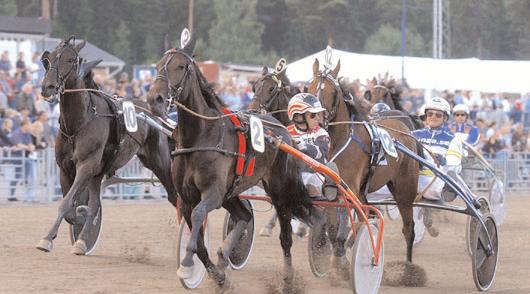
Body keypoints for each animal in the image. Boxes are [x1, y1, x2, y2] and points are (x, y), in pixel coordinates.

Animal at [36, 36, 177, 255]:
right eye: (48, 59)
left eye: (70, 60)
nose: (48, 87)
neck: (79, 122)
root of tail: (154, 111)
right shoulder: (66, 169)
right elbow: (71, 207)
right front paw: (79, 219)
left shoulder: (86, 166)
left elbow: (67, 203)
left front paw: (47, 239)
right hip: (99, 173)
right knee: (95, 204)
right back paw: (82, 241)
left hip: (159, 162)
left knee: (175, 195)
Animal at [146, 36, 324, 288]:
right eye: (158, 65)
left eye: (181, 66)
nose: (155, 99)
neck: (201, 135)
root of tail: (282, 132)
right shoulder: (188, 197)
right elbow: (198, 239)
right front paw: (216, 274)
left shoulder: (212, 192)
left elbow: (199, 215)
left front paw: (187, 265)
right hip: (231, 193)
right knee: (244, 216)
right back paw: (224, 256)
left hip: (279, 191)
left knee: (286, 235)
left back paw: (289, 278)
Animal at [308, 59, 418, 266]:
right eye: (309, 89)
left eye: (333, 93)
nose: (316, 120)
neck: (341, 139)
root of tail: (404, 128)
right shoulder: (334, 189)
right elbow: (335, 229)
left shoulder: (350, 187)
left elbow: (357, 222)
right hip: (365, 191)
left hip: (404, 190)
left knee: (408, 228)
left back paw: (408, 267)